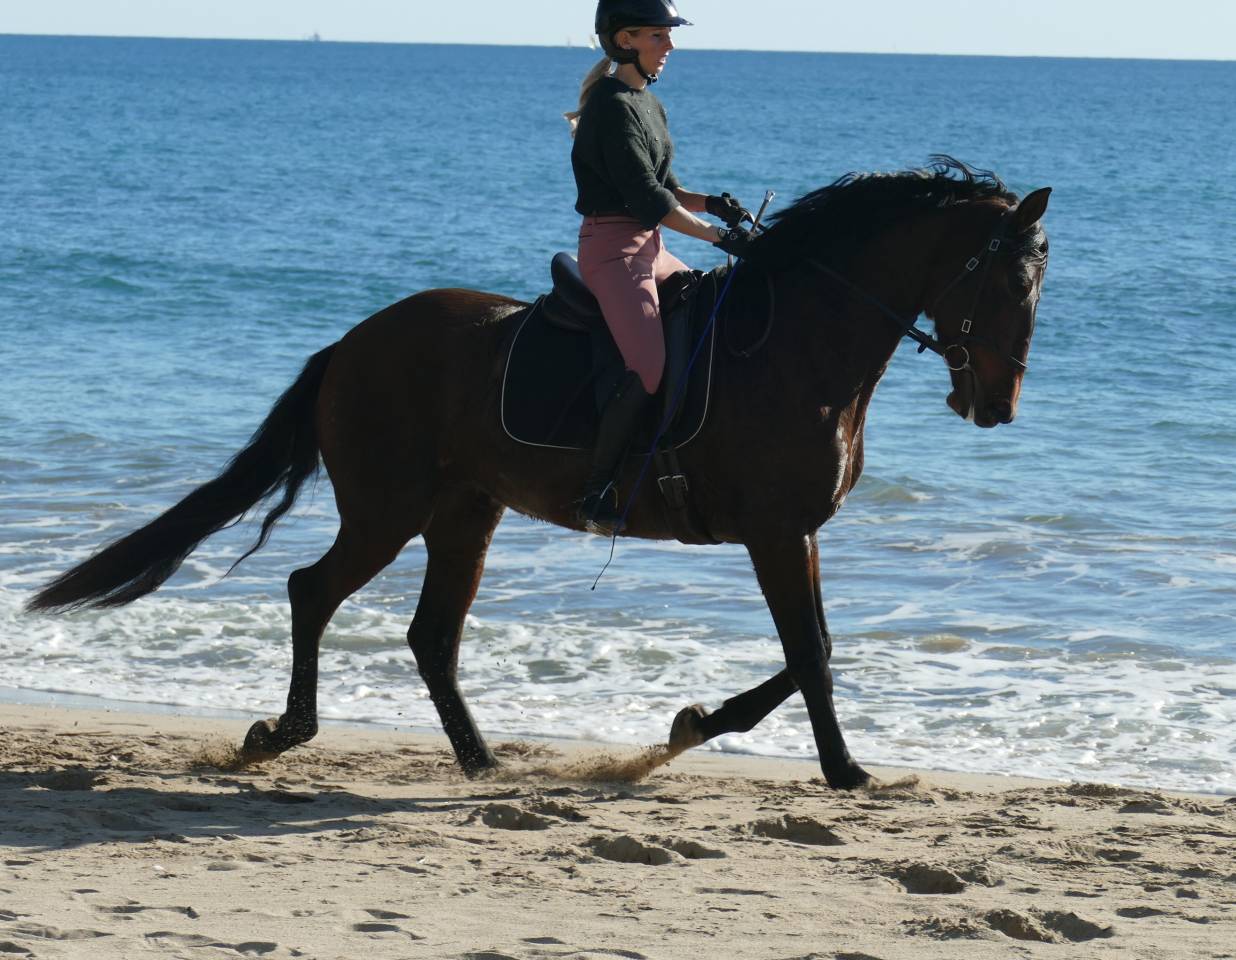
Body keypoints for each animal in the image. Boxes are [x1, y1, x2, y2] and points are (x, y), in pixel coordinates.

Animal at [27, 157, 1051, 790]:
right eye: (1010, 280)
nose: (998, 406)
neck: (800, 347)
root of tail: (353, 343)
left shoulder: (791, 532)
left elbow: (813, 654)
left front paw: (701, 727)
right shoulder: (773, 531)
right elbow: (812, 655)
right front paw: (833, 769)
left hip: (464, 513)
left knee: (429, 636)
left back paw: (480, 760)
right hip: (388, 508)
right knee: (312, 591)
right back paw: (283, 734)